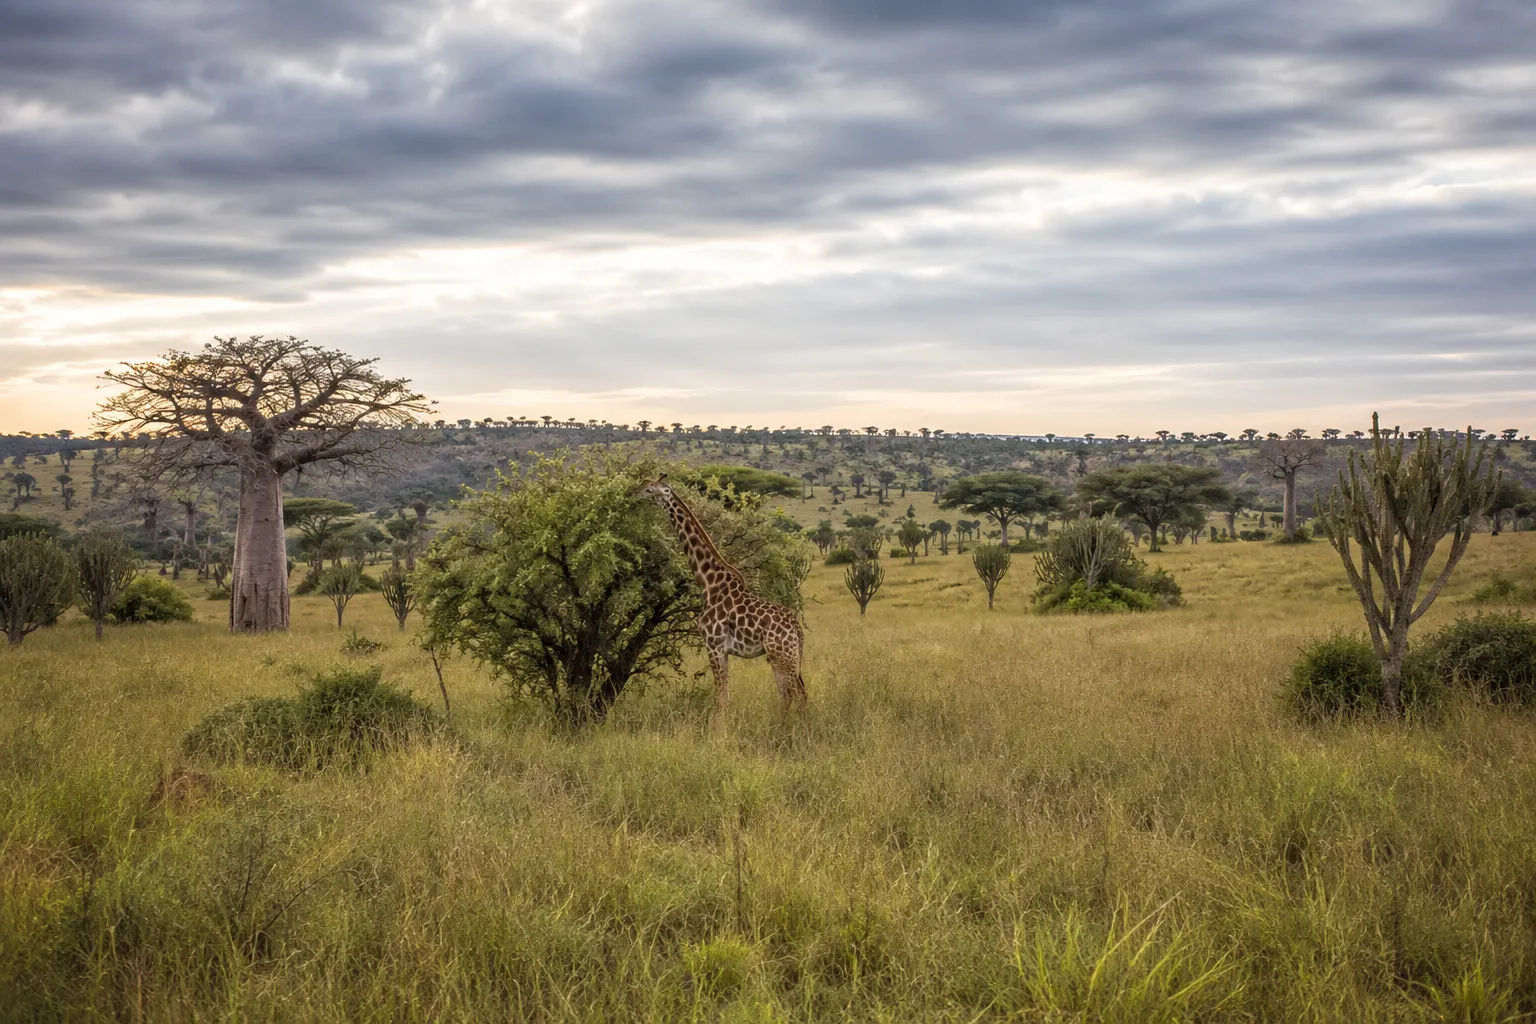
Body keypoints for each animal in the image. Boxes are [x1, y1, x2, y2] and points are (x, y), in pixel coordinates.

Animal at [640, 477, 807, 726]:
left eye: (649, 489)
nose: (634, 495)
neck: (708, 583)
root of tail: (797, 629)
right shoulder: (724, 650)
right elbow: (725, 696)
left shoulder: (714, 645)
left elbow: (721, 698)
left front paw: (718, 732)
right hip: (783, 657)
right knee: (787, 693)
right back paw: (779, 729)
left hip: (782, 655)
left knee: (798, 694)